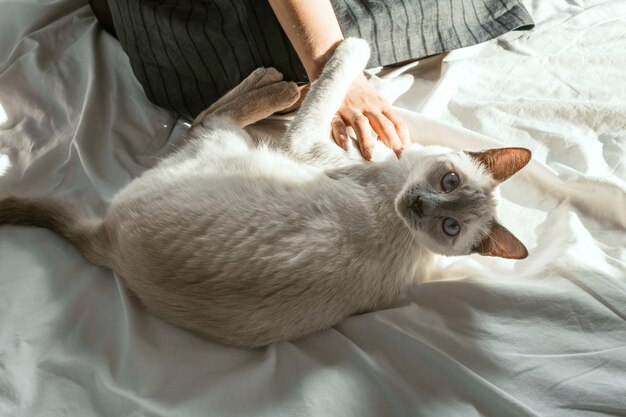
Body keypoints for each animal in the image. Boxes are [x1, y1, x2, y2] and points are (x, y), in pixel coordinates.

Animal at [0, 39, 528, 348]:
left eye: (449, 226)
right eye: (448, 181)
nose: (418, 204)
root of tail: (106, 243)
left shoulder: (307, 147)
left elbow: (336, 77)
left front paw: (349, 50)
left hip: (230, 145)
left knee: (211, 116)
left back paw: (280, 84)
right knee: (216, 112)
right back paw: (280, 82)